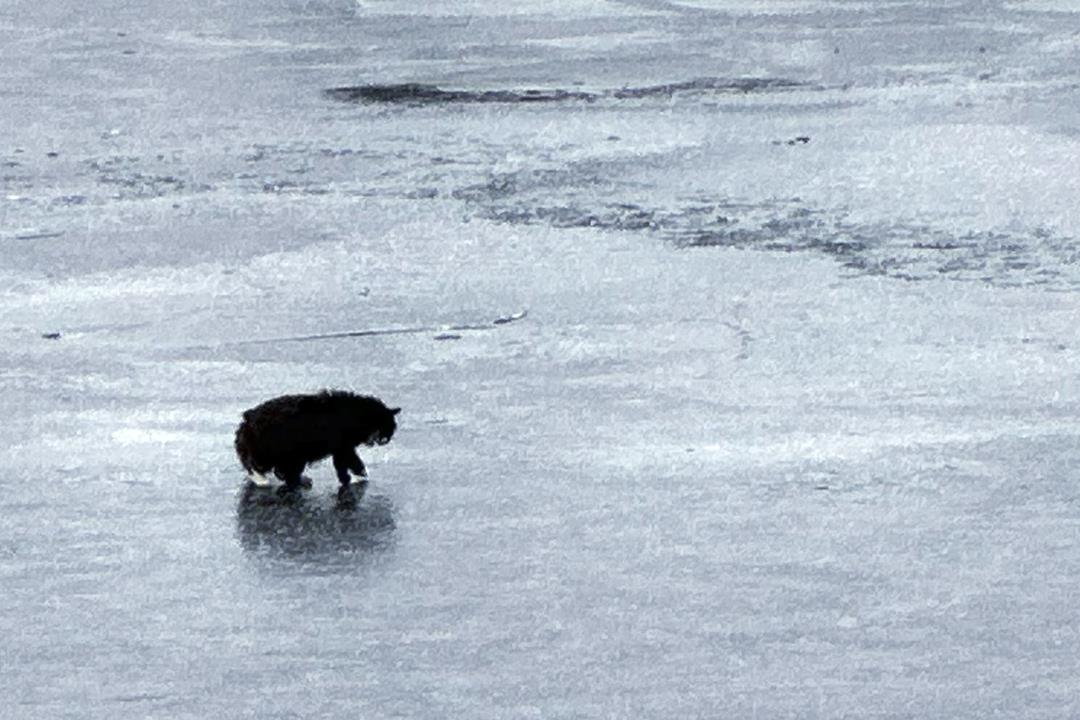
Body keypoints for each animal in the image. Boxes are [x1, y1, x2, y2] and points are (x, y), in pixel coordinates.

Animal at [236, 395, 401, 490]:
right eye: (387, 428)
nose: (385, 441)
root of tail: (248, 418)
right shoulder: (342, 445)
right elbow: (351, 462)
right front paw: (359, 477)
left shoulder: (341, 446)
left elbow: (344, 464)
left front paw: (350, 478)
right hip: (278, 448)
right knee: (256, 464)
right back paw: (262, 479)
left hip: (290, 453)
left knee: (281, 471)